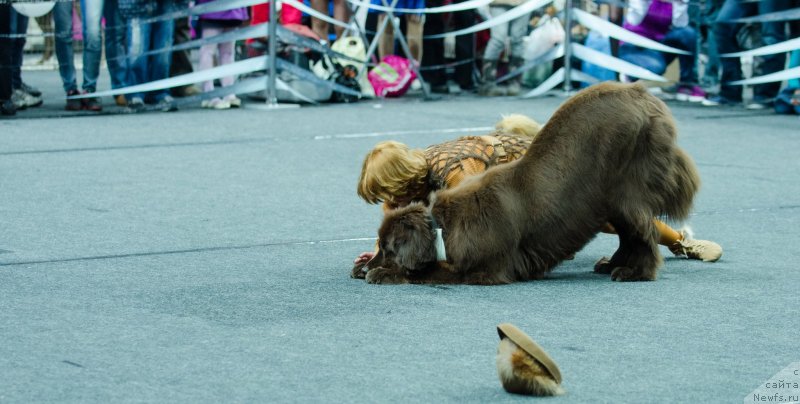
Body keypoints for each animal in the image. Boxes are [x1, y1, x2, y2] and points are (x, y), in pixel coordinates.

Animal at [364, 82, 700, 284]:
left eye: (389, 248)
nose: (367, 265)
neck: (442, 227)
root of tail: (640, 92)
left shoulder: (487, 269)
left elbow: (432, 271)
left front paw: (381, 273)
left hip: (625, 191)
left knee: (642, 232)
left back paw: (633, 272)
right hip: (609, 202)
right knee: (630, 235)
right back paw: (611, 264)